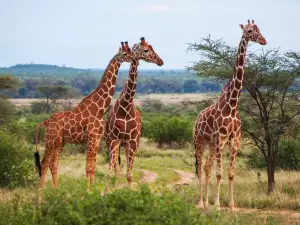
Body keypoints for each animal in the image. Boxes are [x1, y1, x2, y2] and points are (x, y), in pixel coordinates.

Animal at [34, 41, 133, 188]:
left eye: (130, 51)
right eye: (125, 53)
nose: (133, 58)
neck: (100, 108)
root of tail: (46, 122)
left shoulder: (97, 138)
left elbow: (92, 166)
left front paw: (92, 188)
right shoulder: (91, 137)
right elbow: (89, 167)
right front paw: (88, 190)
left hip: (59, 142)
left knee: (53, 164)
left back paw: (56, 189)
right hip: (50, 141)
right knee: (44, 163)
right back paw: (41, 190)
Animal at [104, 37, 163, 188]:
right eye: (146, 50)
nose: (160, 61)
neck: (126, 106)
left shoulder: (133, 141)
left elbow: (129, 175)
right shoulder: (114, 140)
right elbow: (111, 171)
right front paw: (108, 191)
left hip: (128, 144)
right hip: (111, 142)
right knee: (115, 166)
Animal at [195, 20, 268, 210]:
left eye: (258, 29)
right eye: (249, 31)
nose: (263, 40)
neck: (233, 105)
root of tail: (197, 119)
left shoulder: (234, 141)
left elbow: (230, 173)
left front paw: (232, 205)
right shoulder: (221, 140)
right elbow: (219, 173)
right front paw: (218, 204)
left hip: (211, 145)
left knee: (206, 168)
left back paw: (206, 202)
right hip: (199, 142)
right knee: (201, 168)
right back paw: (201, 202)